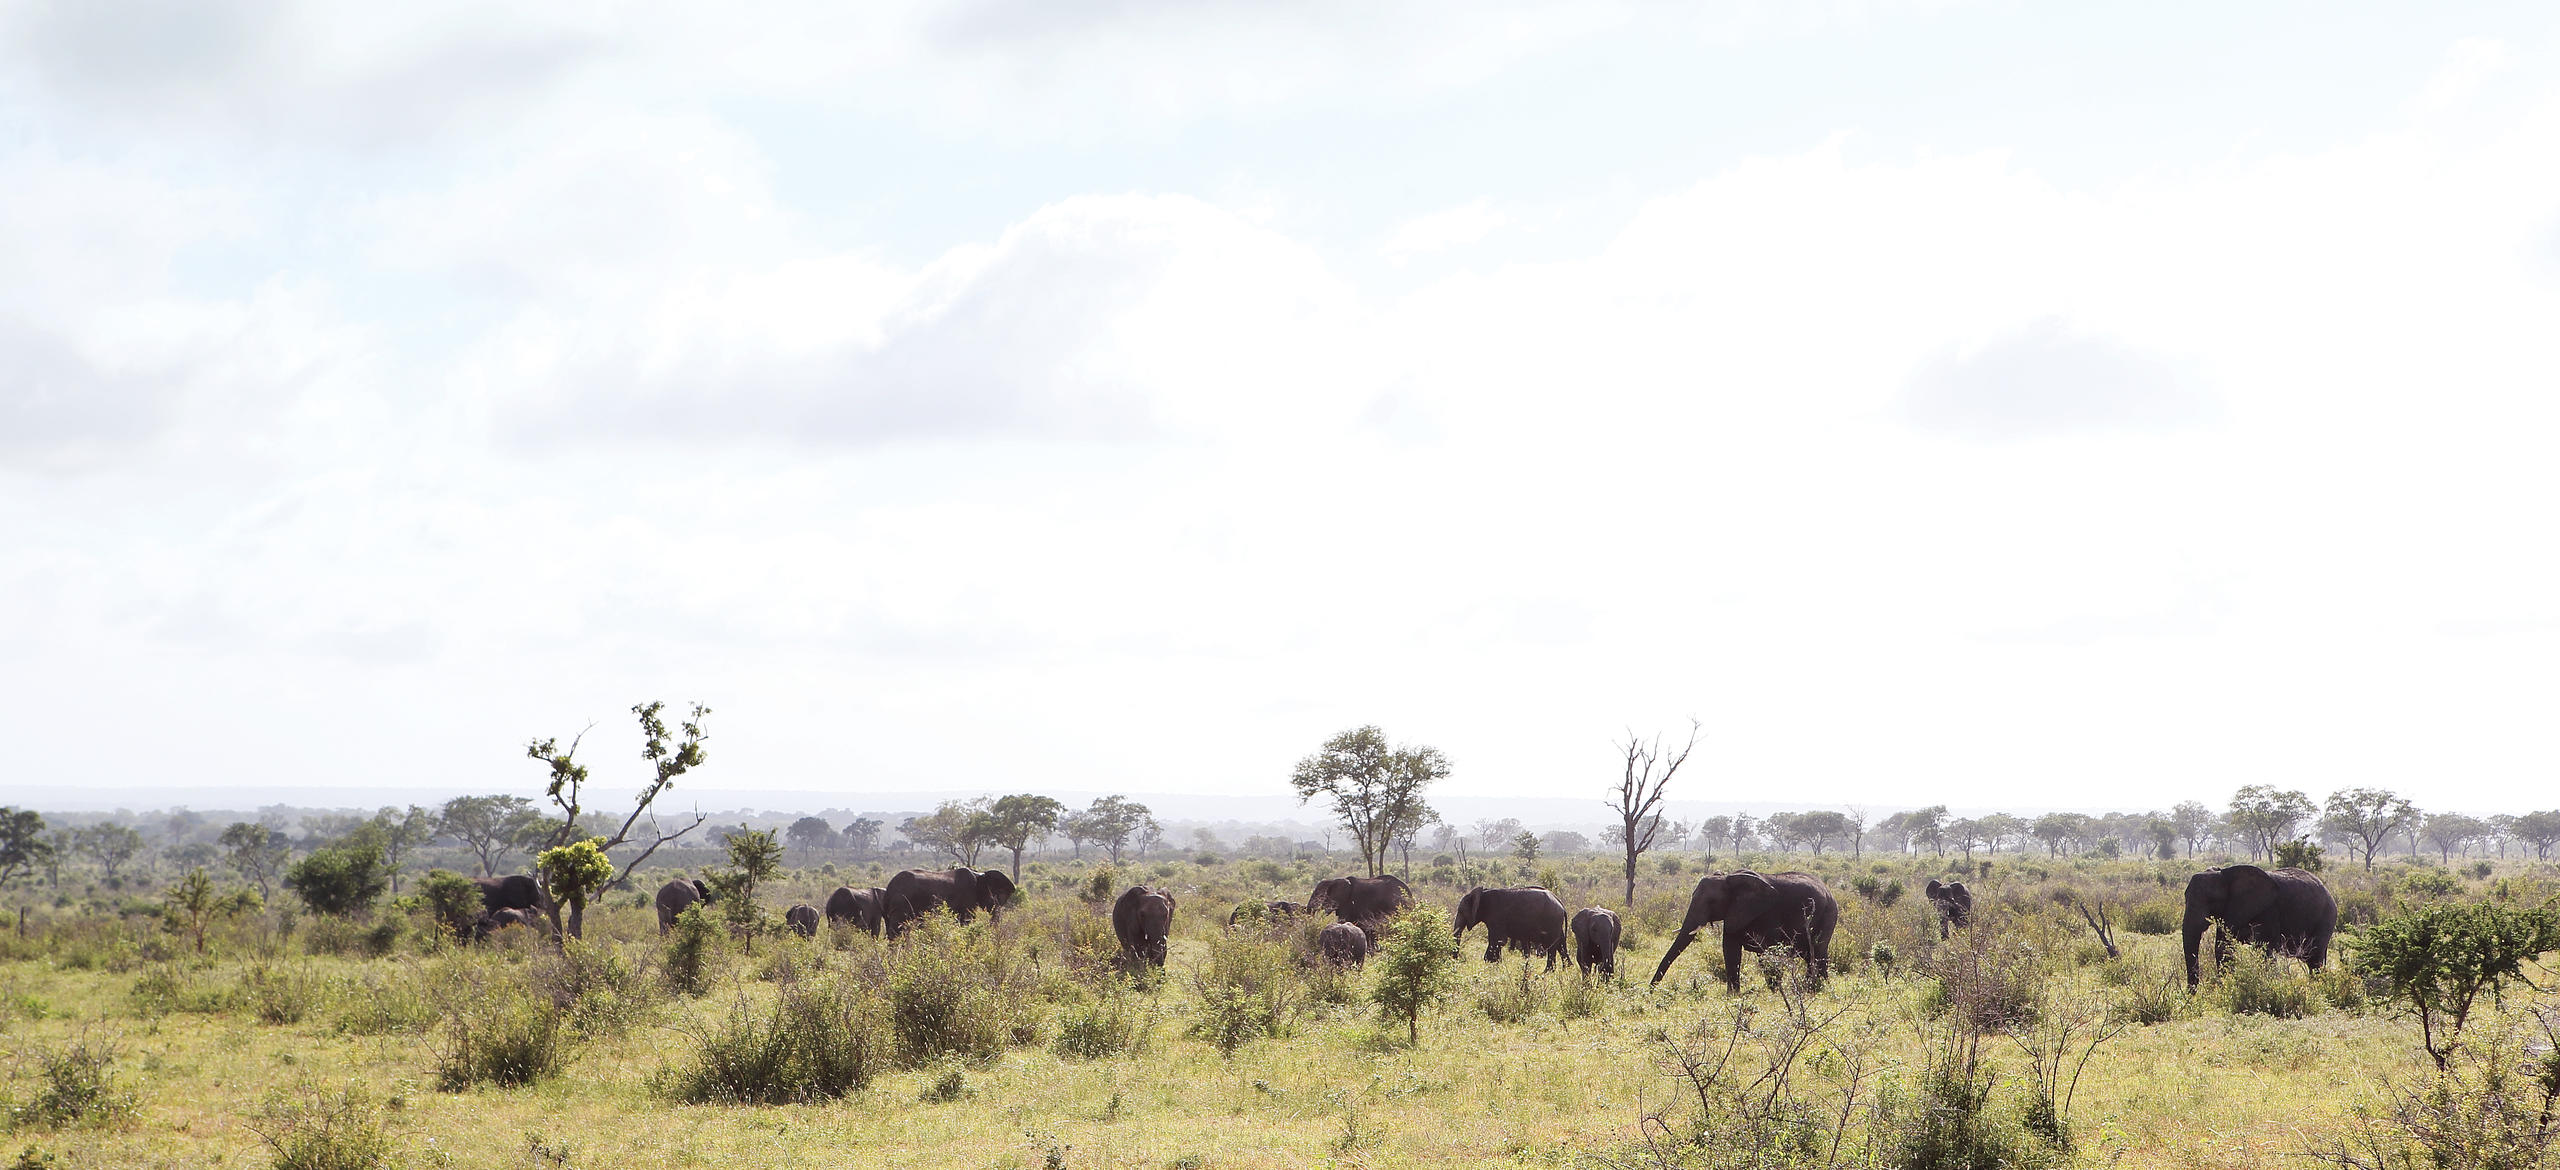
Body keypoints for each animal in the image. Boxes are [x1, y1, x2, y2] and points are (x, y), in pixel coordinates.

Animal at [882, 867, 1018, 935]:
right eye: (994, 896)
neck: (979, 875)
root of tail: (889, 888)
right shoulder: (967, 895)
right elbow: (967, 920)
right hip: (901, 902)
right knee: (896, 929)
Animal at [1651, 871, 1839, 991]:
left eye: (1712, 901)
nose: (1651, 990)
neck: (1729, 878)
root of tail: (1828, 891)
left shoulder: (1768, 912)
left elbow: (1767, 952)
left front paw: (1774, 992)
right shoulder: (1735, 912)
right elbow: (1730, 951)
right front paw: (1733, 995)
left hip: (1828, 913)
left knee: (1818, 951)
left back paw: (1814, 988)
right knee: (1812, 955)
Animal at [2182, 864, 2337, 989]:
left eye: (2211, 901)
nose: (2190, 995)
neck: (2224, 875)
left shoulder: (2268, 910)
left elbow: (2264, 948)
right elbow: (2223, 948)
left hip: (2326, 917)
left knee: (2314, 959)